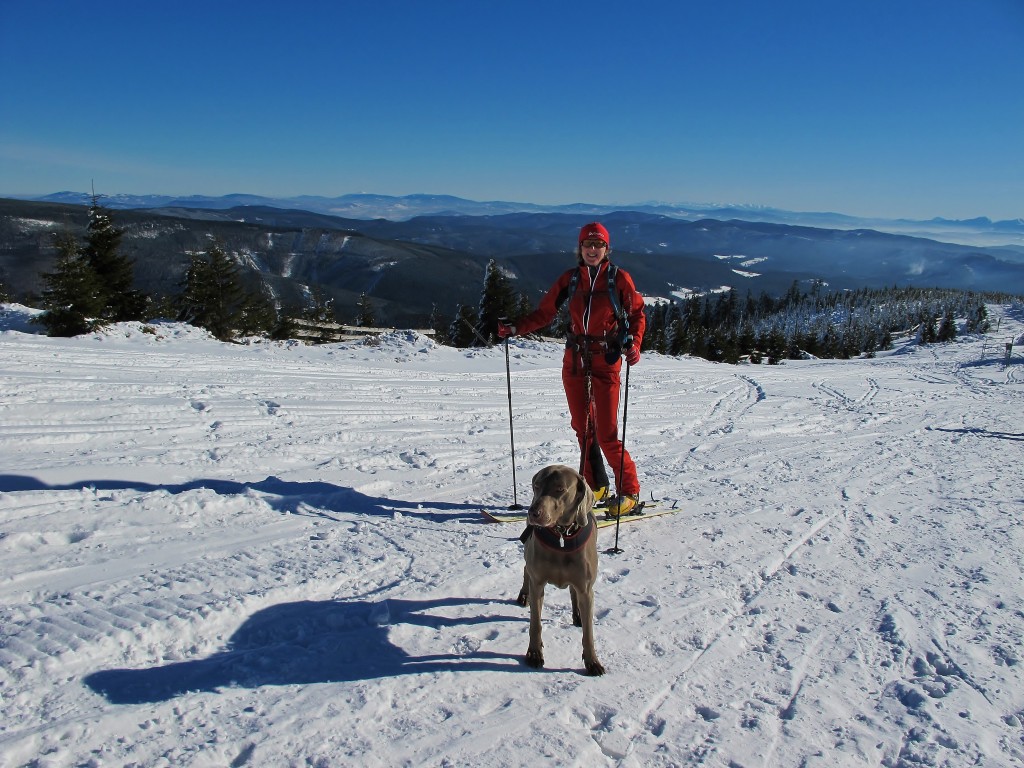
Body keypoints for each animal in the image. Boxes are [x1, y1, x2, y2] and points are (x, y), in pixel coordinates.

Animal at [516, 462, 602, 671]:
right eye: (536, 486)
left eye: (560, 489)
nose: (533, 513)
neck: (562, 534)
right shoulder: (538, 583)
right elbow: (535, 624)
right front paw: (534, 654)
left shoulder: (586, 589)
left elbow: (588, 632)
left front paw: (592, 661)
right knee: (526, 569)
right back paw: (523, 595)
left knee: (573, 591)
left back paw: (577, 615)